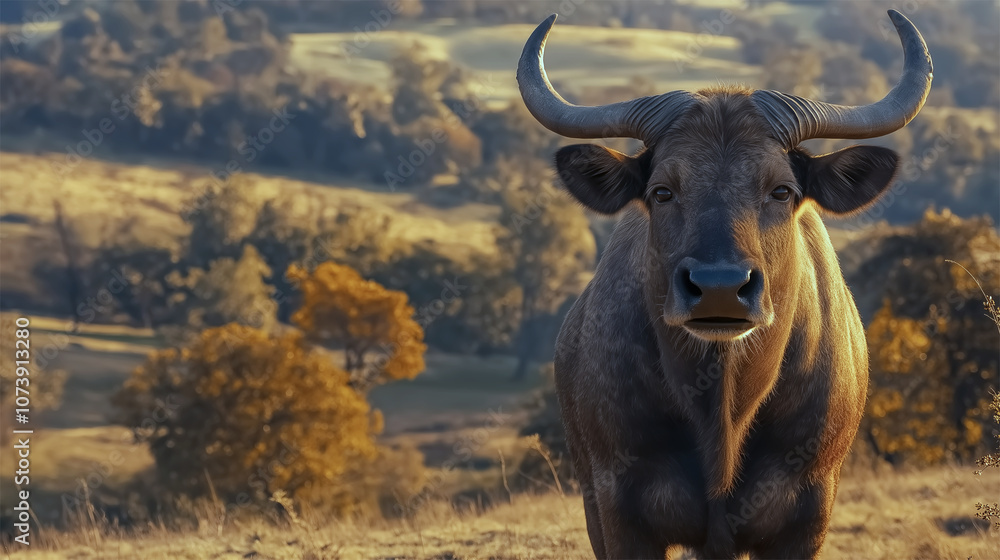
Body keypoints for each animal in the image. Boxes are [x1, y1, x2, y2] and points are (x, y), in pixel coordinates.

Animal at [516, 9, 932, 559]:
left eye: (781, 190)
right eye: (662, 191)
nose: (719, 288)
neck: (722, 412)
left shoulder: (807, 514)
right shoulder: (618, 508)